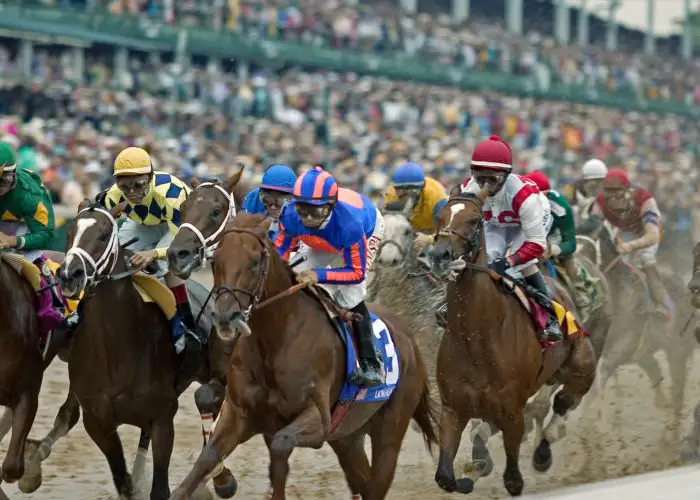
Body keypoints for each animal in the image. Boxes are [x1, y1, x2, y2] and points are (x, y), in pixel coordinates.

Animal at [168, 214, 438, 500]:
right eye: (216, 261)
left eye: (254, 262)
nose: (224, 317)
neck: (275, 341)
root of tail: (409, 338)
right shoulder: (239, 413)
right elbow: (204, 461)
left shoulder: (318, 421)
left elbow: (280, 445)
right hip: (347, 437)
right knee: (363, 479)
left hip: (389, 433)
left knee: (377, 482)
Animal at [426, 190, 596, 496]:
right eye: (441, 217)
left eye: (474, 220)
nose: (439, 256)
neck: (476, 338)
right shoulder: (453, 408)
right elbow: (445, 476)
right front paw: (469, 474)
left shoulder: (512, 411)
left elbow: (513, 479)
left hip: (581, 370)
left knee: (563, 403)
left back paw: (543, 453)